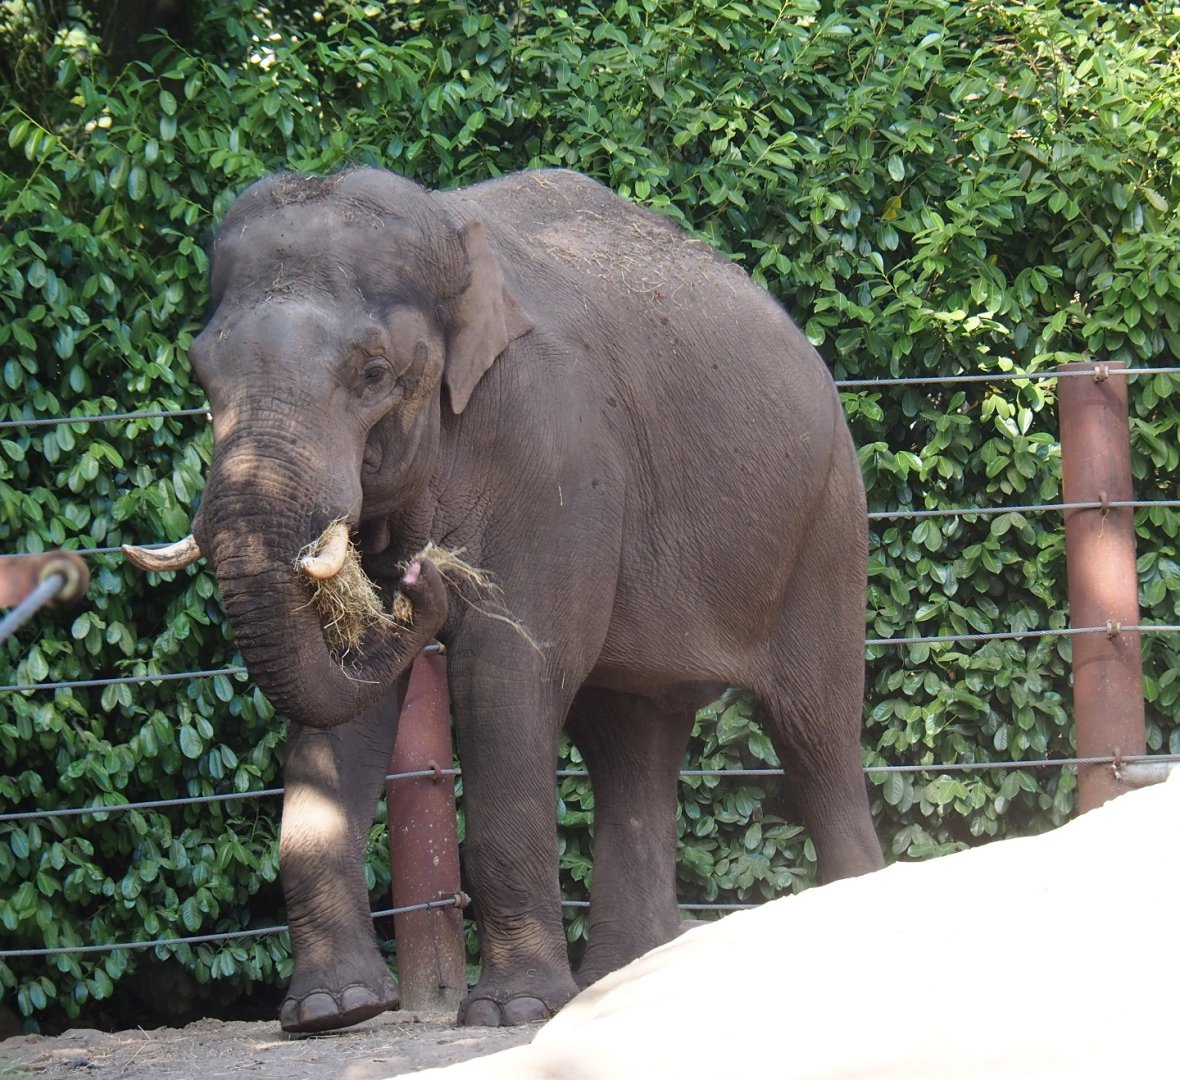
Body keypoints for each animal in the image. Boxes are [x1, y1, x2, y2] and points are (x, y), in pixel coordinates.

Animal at [125, 166, 884, 1033]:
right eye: (201, 375)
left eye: (373, 373)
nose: (415, 577)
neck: (452, 245)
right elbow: (344, 697)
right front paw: (331, 1011)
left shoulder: (556, 453)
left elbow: (505, 674)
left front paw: (510, 1012)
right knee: (631, 737)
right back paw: (621, 984)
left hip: (828, 521)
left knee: (816, 731)